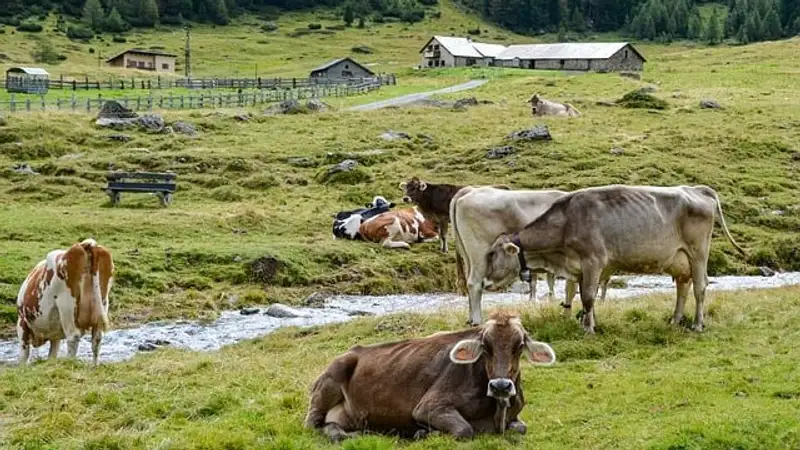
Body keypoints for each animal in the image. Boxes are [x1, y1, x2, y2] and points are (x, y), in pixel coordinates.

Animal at [304, 312, 560, 442]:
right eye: (485, 347)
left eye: (520, 346)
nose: (500, 386)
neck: (496, 411)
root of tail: (351, 350)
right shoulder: (428, 407)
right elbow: (465, 430)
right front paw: (423, 432)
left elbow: (521, 428)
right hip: (329, 381)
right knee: (313, 424)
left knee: (331, 424)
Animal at [482, 184, 752, 334]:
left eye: (492, 253)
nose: (484, 282)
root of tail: (696, 189)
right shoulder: (582, 269)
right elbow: (585, 297)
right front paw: (589, 323)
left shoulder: (593, 261)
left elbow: (588, 297)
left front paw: (588, 329)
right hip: (680, 259)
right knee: (682, 289)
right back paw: (675, 320)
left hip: (698, 253)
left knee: (699, 288)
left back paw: (697, 324)